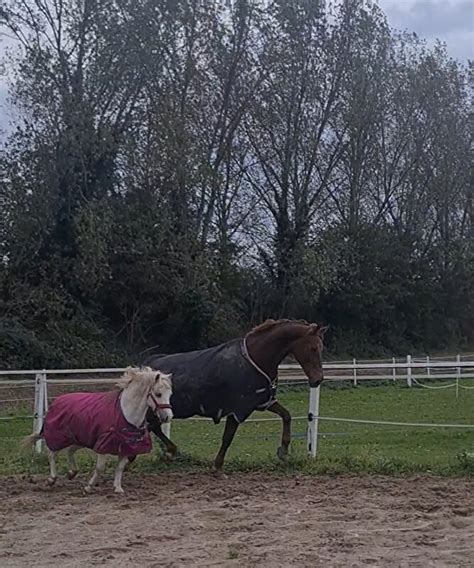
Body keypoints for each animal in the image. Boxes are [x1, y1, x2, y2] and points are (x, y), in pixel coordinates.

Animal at [24, 368, 172, 492]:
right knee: (51, 453)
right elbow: (100, 467)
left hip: (79, 439)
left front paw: (118, 488)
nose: (168, 417)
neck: (124, 412)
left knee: (70, 451)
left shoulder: (126, 446)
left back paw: (72, 473)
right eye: (158, 394)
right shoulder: (104, 445)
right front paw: (89, 487)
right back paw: (51, 479)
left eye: (170, 394)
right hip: (59, 438)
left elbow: (120, 467)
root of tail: (56, 401)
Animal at [144, 318, 328, 472]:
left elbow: (286, 416)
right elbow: (228, 437)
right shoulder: (238, 410)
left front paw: (283, 450)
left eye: (321, 348)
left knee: (153, 427)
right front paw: (217, 466)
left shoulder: (263, 402)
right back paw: (171, 450)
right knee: (152, 427)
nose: (318, 379)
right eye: (313, 348)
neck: (256, 358)